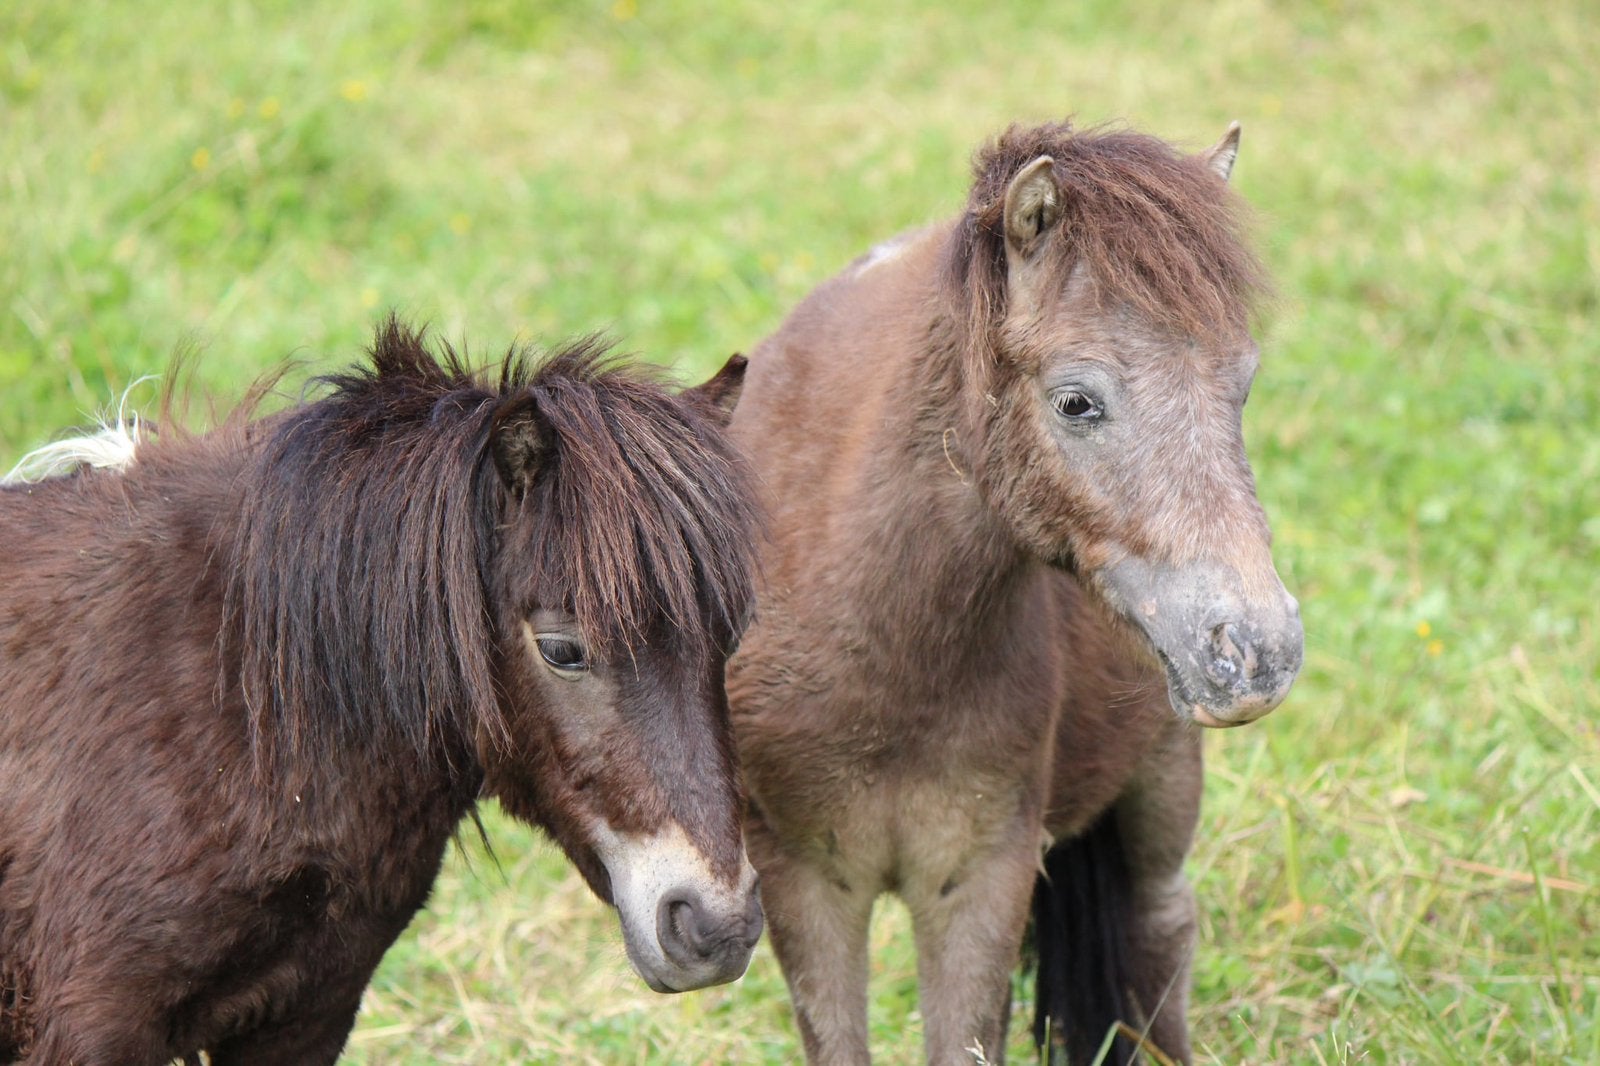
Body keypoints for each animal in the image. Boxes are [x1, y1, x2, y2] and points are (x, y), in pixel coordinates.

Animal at [722, 120, 1304, 1065]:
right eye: (1076, 401)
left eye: (1242, 384)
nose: (1260, 650)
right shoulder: (802, 881)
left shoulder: (980, 880)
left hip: (1161, 774)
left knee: (1160, 932)